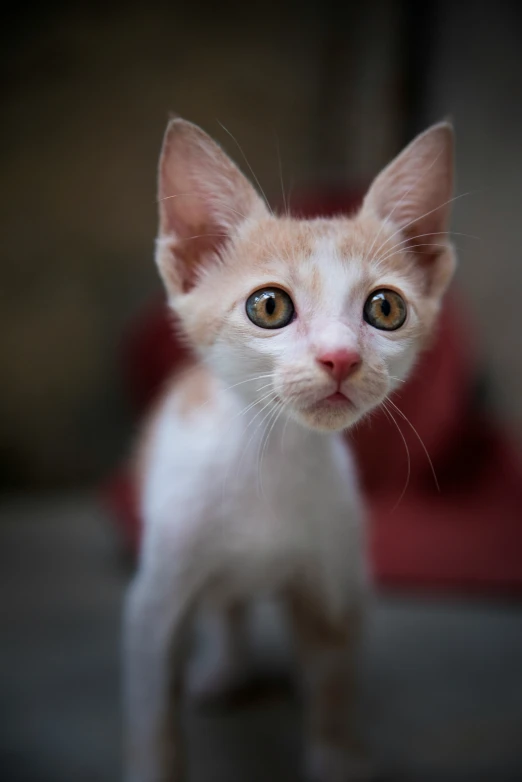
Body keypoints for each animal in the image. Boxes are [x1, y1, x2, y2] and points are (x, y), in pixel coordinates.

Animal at [122, 118, 450, 782]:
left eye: (386, 308)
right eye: (269, 306)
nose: (340, 357)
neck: (271, 461)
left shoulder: (333, 580)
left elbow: (335, 677)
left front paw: (337, 753)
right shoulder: (154, 603)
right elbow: (154, 709)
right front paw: (154, 764)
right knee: (227, 604)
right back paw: (226, 668)